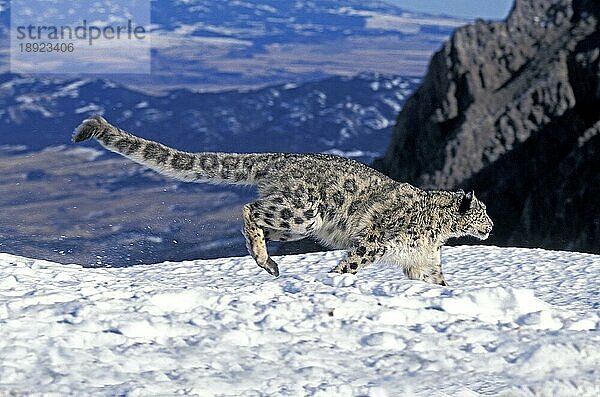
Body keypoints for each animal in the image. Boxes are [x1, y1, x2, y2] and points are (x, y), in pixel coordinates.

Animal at [71, 114, 492, 284]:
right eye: (483, 213)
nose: (491, 226)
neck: (437, 233)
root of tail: (282, 158)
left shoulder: (423, 261)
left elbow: (438, 281)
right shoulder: (372, 243)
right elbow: (352, 264)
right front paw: (336, 281)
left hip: (294, 220)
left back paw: (266, 260)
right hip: (302, 213)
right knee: (249, 210)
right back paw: (265, 260)